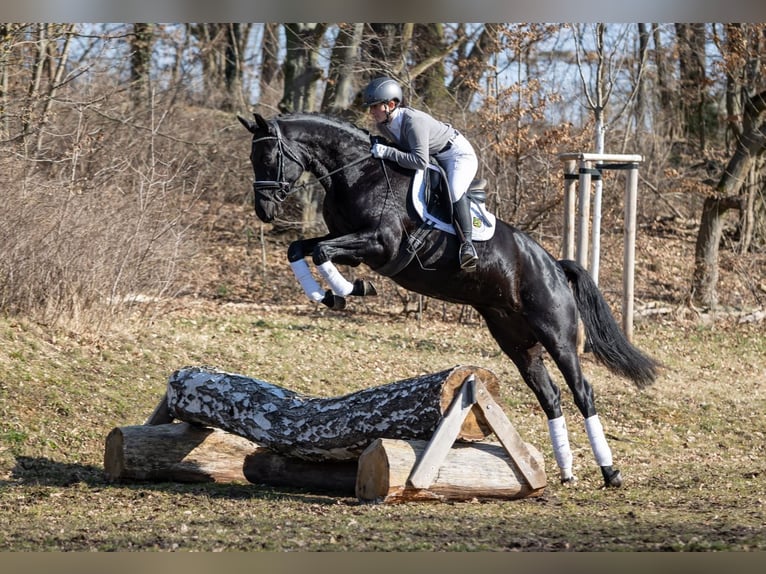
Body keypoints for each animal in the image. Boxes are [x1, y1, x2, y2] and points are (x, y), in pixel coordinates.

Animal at [237, 111, 659, 488]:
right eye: (253, 158)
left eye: (270, 156)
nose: (264, 210)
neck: (356, 174)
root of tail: (554, 265)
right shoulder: (353, 246)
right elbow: (300, 248)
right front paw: (327, 296)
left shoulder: (379, 245)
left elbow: (323, 251)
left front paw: (349, 291)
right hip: (516, 341)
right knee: (549, 395)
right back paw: (567, 471)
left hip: (557, 335)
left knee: (581, 391)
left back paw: (610, 473)